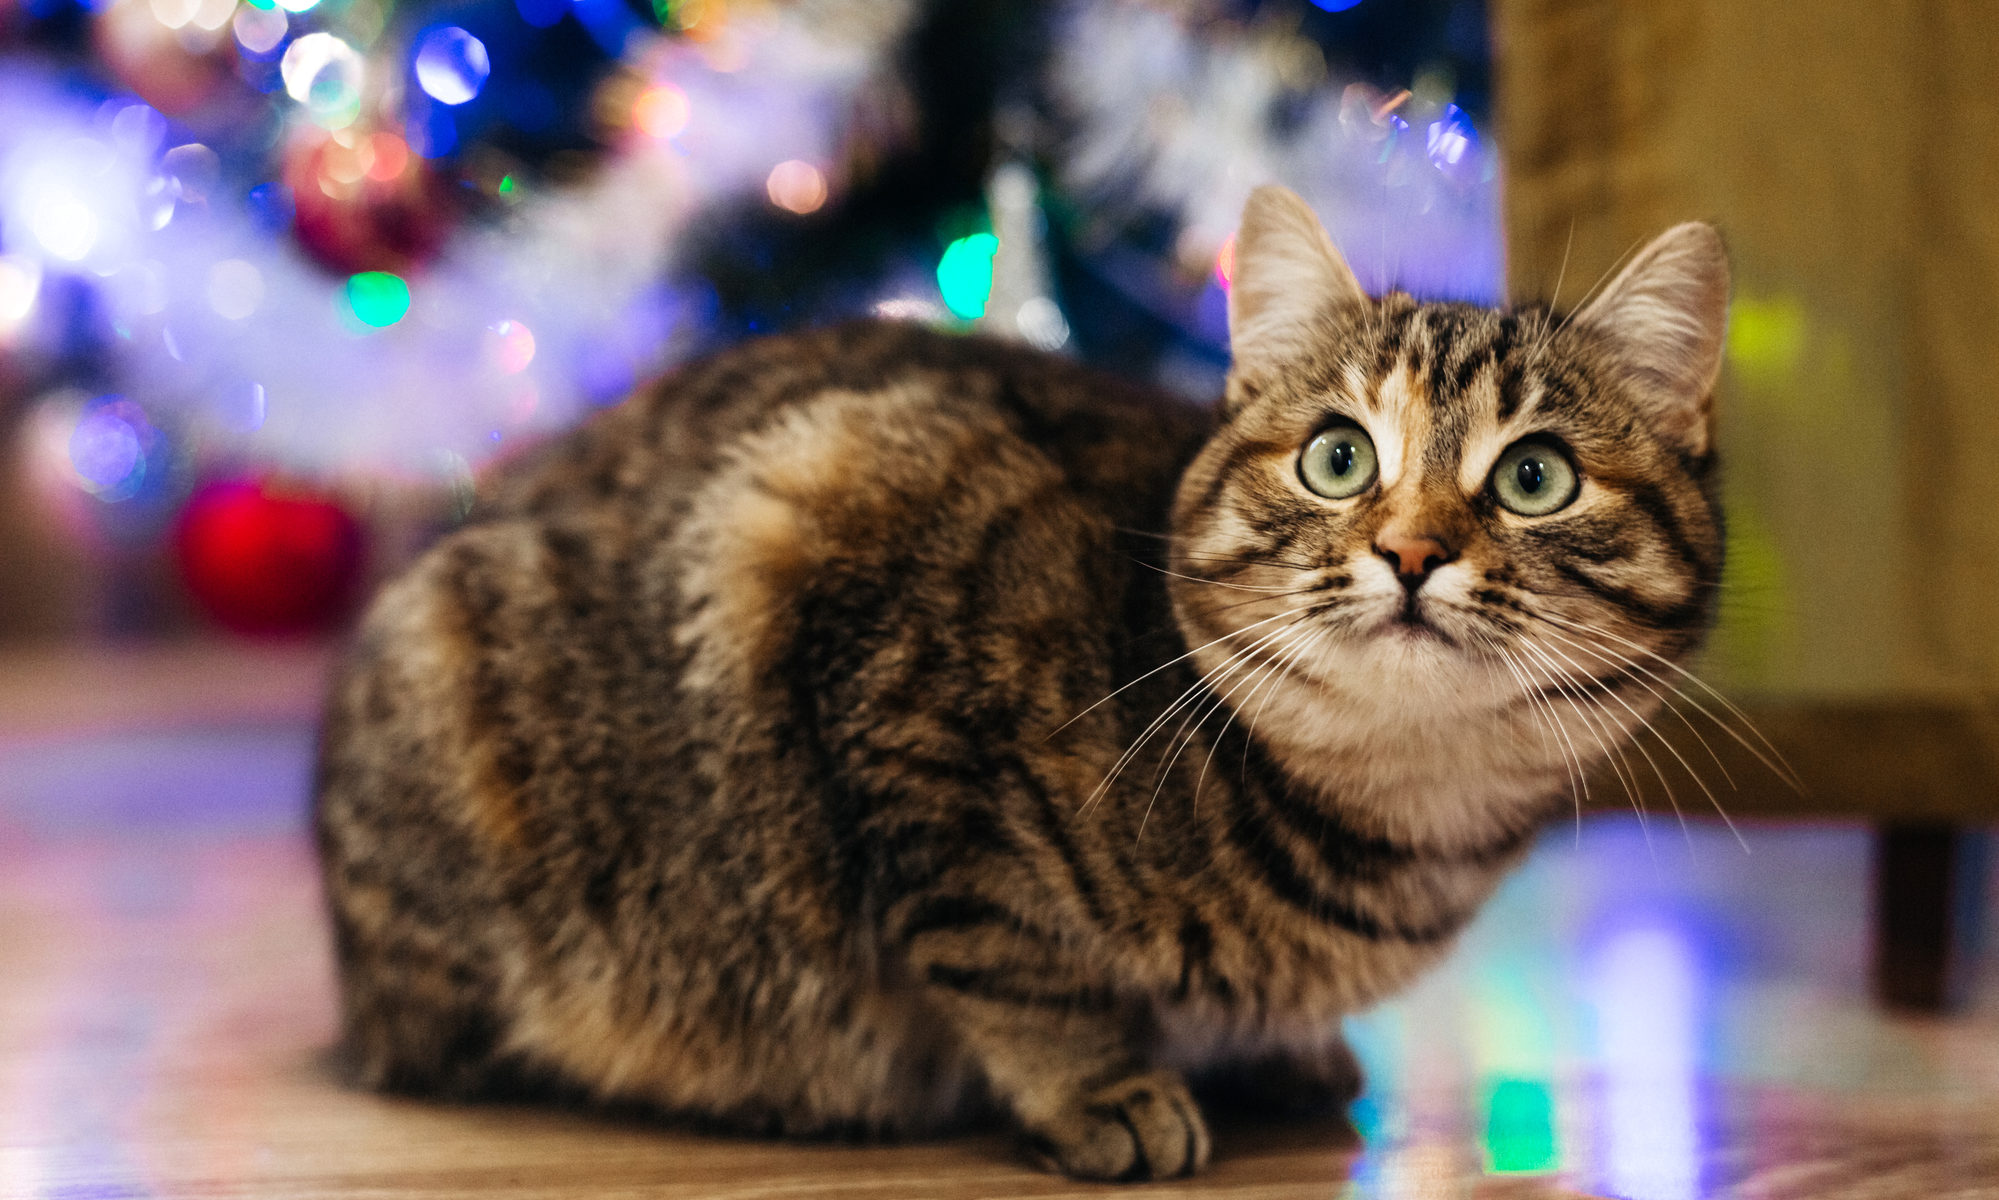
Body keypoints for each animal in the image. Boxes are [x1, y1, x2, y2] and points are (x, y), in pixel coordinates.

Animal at [315, 188, 1735, 1184]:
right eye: (1338, 458)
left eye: (1534, 477)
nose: (1410, 550)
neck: (1401, 821)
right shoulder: (861, 604)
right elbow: (1011, 950)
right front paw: (1097, 1087)